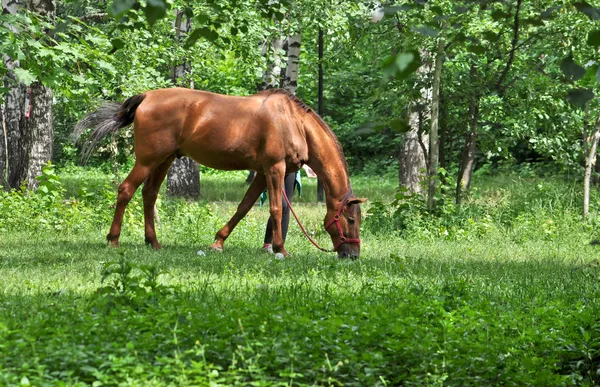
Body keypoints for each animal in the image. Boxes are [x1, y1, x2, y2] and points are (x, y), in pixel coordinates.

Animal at [75, 87, 366, 260]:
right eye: (351, 220)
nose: (352, 256)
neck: (294, 122)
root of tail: (146, 96)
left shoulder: (262, 173)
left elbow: (244, 207)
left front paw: (218, 241)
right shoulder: (274, 169)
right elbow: (276, 209)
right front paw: (280, 249)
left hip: (164, 160)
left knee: (149, 195)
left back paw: (153, 242)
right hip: (148, 160)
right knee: (126, 190)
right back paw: (113, 240)